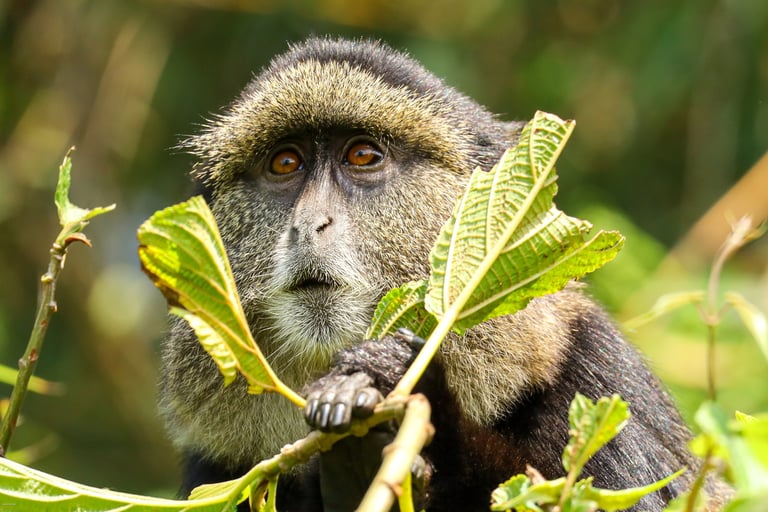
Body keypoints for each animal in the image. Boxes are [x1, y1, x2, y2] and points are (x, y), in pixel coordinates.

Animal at [158, 37, 727, 511]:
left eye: (362, 155)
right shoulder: (215, 466)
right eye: (284, 164)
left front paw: (417, 398)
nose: (308, 224)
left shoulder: (597, 378)